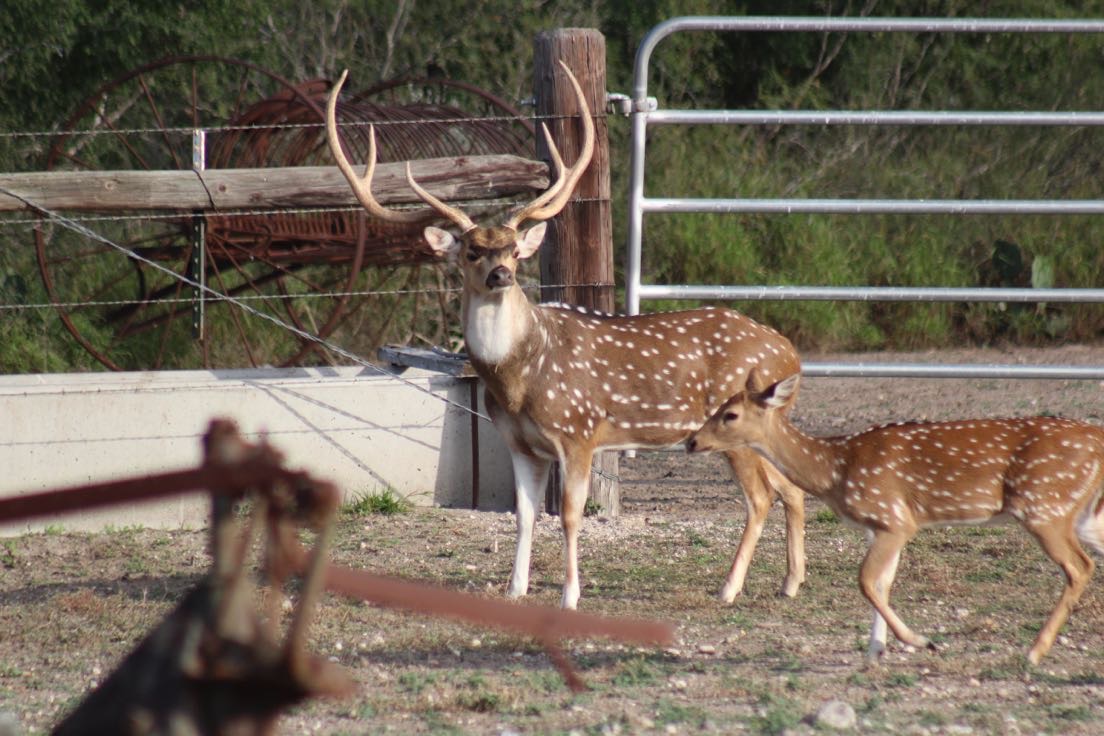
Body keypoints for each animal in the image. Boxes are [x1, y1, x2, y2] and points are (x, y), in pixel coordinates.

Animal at [325, 61, 807, 610]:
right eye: (472, 250)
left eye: (515, 250)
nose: (501, 275)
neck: (518, 377)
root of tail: (791, 355)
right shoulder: (518, 442)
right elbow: (525, 515)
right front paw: (515, 589)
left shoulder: (579, 430)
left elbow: (572, 516)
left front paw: (569, 596)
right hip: (764, 424)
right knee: (792, 488)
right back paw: (790, 583)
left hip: (736, 426)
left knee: (761, 497)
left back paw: (728, 588)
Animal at [687, 371, 1104, 664]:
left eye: (730, 414)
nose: (691, 441)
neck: (836, 469)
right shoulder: (881, 526)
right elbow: (882, 584)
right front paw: (875, 653)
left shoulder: (894, 518)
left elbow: (866, 581)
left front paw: (920, 641)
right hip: (1081, 513)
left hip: (1043, 506)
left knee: (1079, 566)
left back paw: (1033, 652)